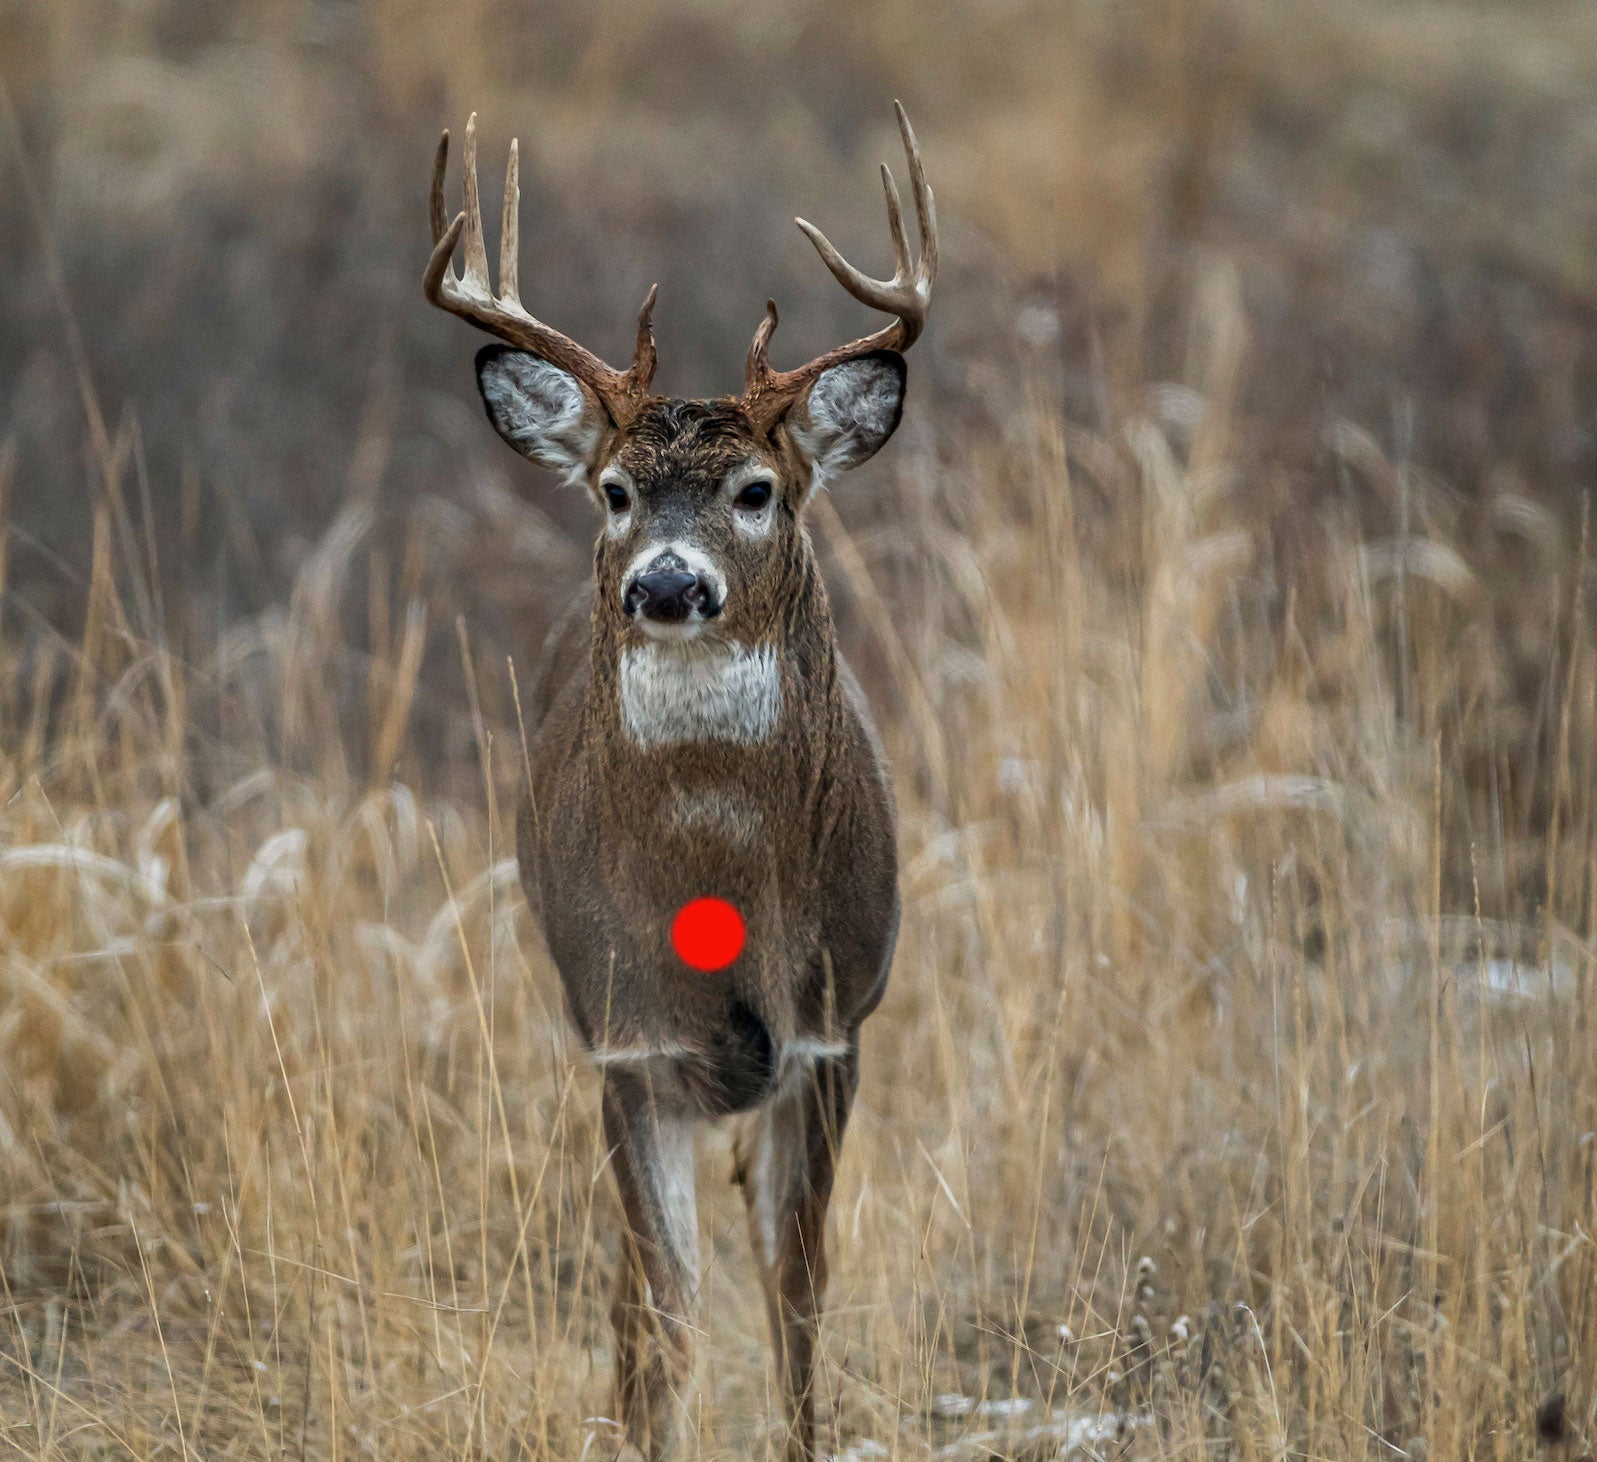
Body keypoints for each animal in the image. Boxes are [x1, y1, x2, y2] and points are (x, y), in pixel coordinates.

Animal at [423, 102, 936, 1460]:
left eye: (756, 490)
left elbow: (797, 1293)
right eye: (613, 489)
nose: (664, 582)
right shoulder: (626, 1036)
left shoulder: (831, 1027)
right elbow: (665, 1305)